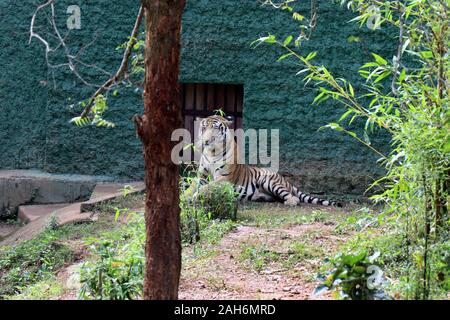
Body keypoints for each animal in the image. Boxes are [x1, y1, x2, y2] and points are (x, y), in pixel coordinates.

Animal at [189, 115, 342, 208]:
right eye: (204, 127)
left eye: (215, 128)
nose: (206, 141)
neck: (212, 152)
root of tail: (286, 180)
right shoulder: (201, 176)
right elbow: (191, 188)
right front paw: (186, 197)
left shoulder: (225, 178)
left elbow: (206, 187)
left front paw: (195, 196)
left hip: (269, 181)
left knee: (293, 197)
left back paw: (290, 202)